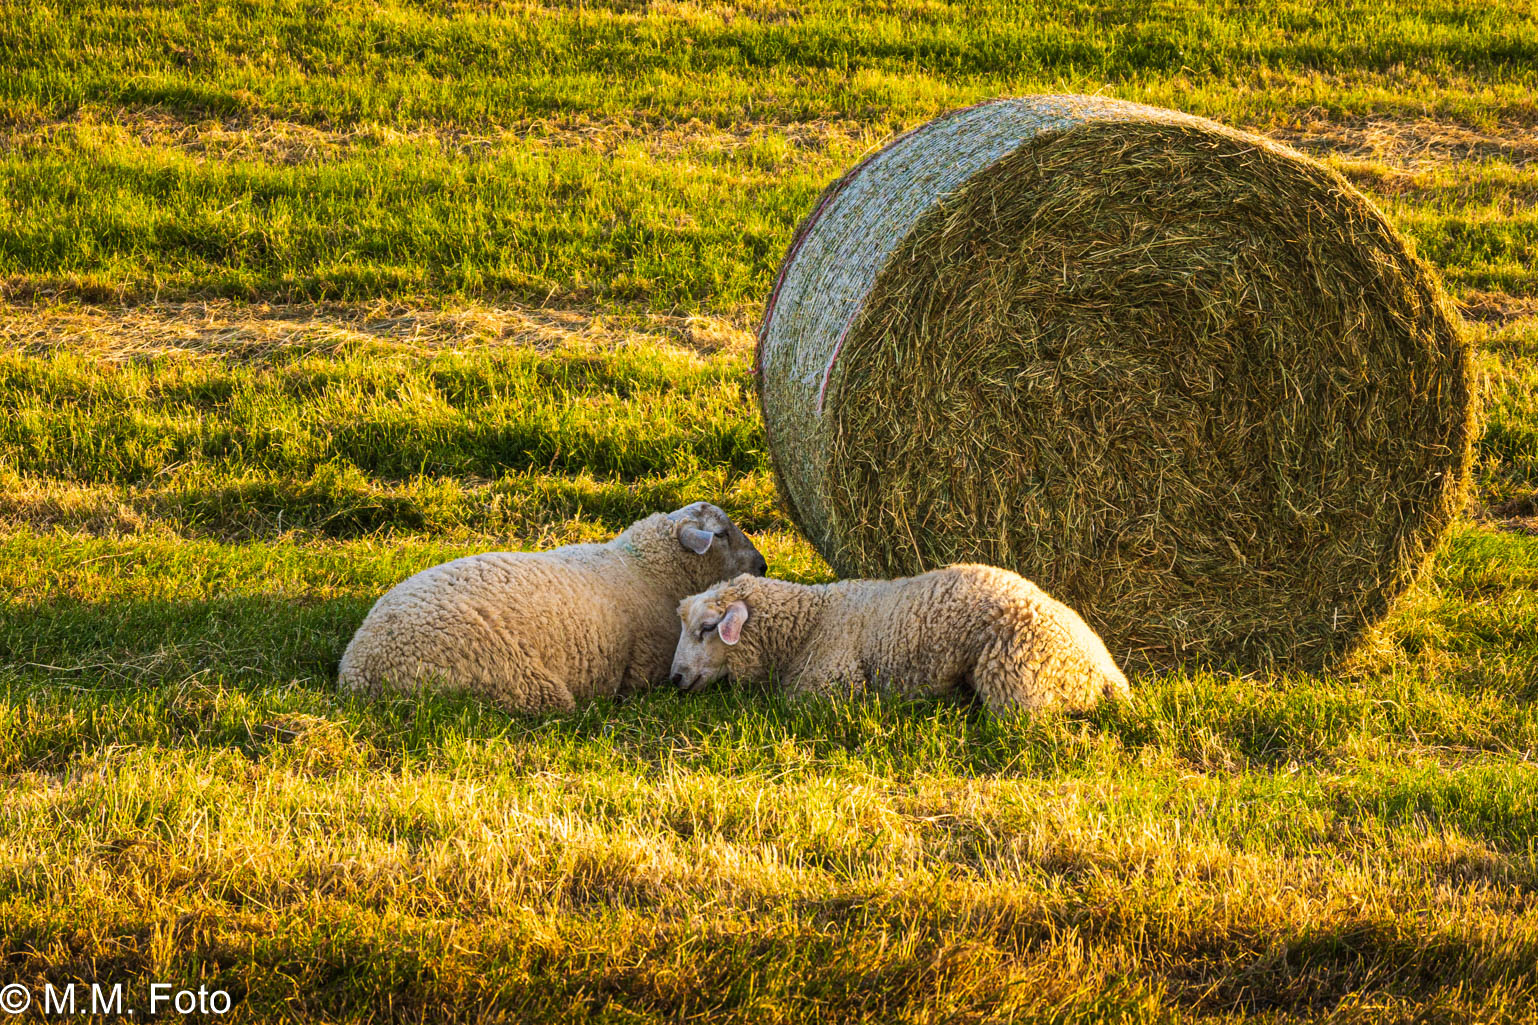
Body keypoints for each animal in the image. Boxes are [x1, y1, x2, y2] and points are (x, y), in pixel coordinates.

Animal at [338, 501, 769, 711]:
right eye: (722, 534)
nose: (764, 566)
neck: (642, 568)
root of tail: (360, 673)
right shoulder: (647, 664)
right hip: (512, 677)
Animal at [673, 563, 1131, 714]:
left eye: (707, 628)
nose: (674, 679)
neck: (811, 623)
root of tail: (1108, 675)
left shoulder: (830, 686)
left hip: (1017, 682)